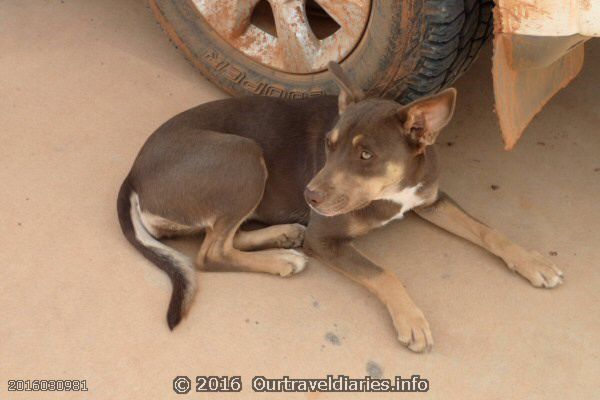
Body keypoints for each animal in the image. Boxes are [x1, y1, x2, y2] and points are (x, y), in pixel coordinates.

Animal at [117, 61, 564, 350]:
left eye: (366, 155)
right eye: (329, 146)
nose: (309, 197)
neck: (391, 189)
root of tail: (133, 174)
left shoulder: (431, 199)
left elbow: (487, 229)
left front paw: (532, 261)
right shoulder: (325, 238)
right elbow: (383, 273)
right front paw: (412, 318)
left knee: (225, 238)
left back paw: (282, 236)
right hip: (243, 155)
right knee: (211, 252)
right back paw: (281, 260)